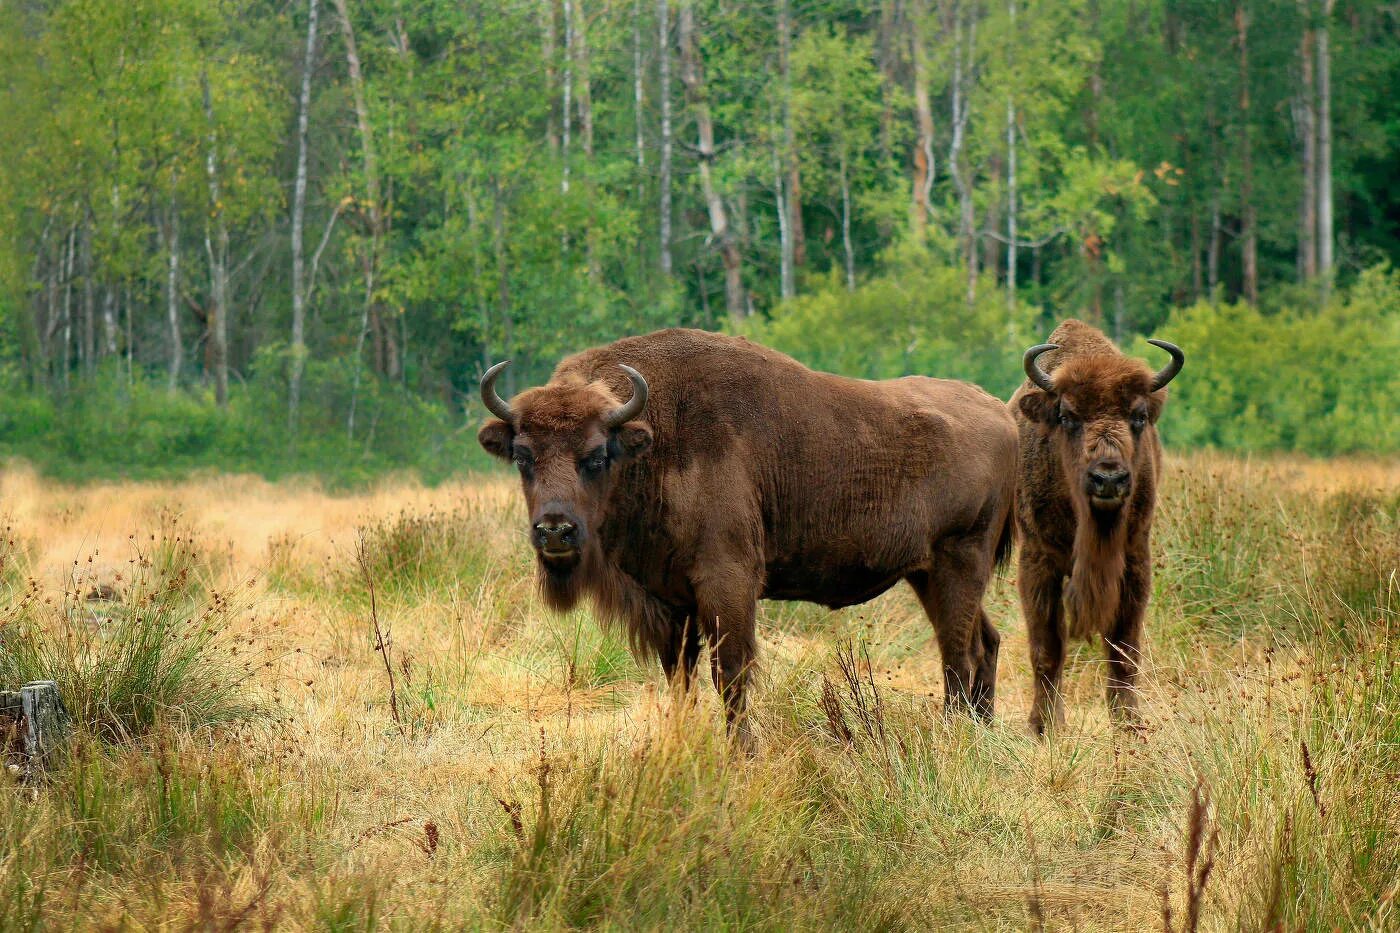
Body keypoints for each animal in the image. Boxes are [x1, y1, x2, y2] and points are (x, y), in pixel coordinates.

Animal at [1013, 319, 1187, 734]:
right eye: (1067, 417)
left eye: (1138, 417)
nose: (1108, 478)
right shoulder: (1038, 562)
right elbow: (1047, 648)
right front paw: (1044, 726)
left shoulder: (1135, 561)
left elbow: (1124, 647)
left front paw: (1129, 722)